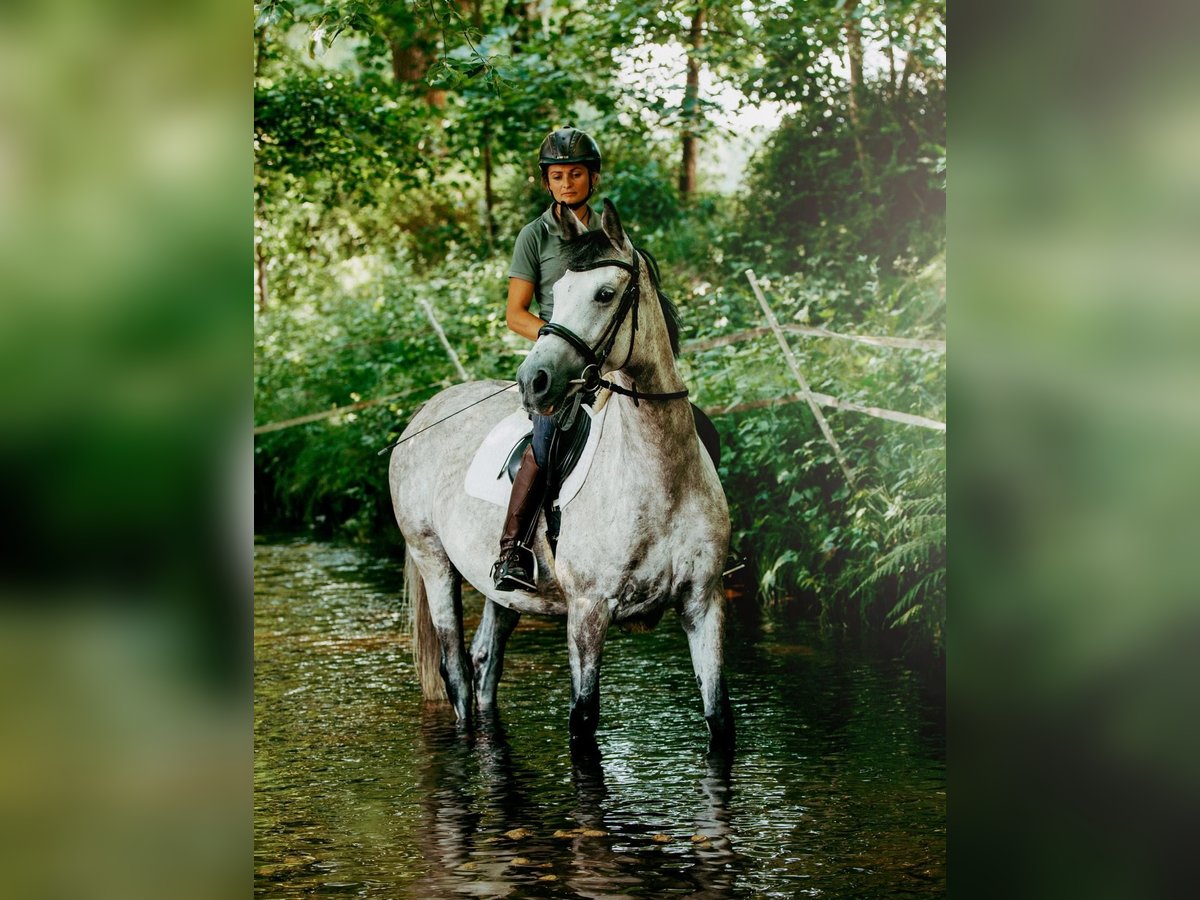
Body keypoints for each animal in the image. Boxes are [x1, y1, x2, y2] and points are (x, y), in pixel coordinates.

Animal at [391, 199, 729, 753]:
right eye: (560, 291)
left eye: (605, 293)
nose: (534, 381)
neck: (660, 478)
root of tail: (424, 412)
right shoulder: (589, 609)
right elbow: (583, 720)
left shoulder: (704, 603)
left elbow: (720, 720)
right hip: (433, 559)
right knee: (456, 669)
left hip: (501, 588)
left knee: (485, 662)